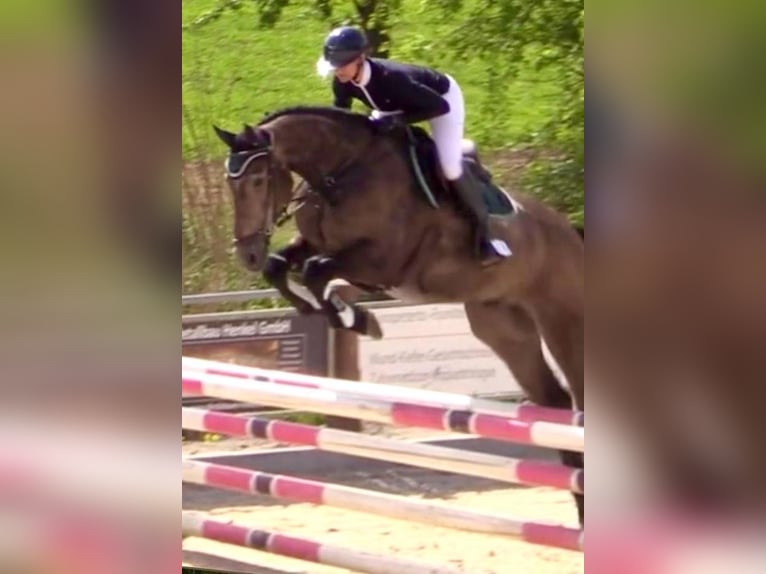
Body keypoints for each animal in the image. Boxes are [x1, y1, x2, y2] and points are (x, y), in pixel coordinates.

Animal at [213, 104, 584, 528]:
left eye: (258, 179)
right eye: (229, 182)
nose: (247, 255)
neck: (341, 172)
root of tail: (571, 232)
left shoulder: (383, 261)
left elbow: (316, 270)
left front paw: (355, 320)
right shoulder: (325, 249)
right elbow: (285, 266)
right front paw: (333, 312)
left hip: (562, 320)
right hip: (501, 326)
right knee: (555, 402)